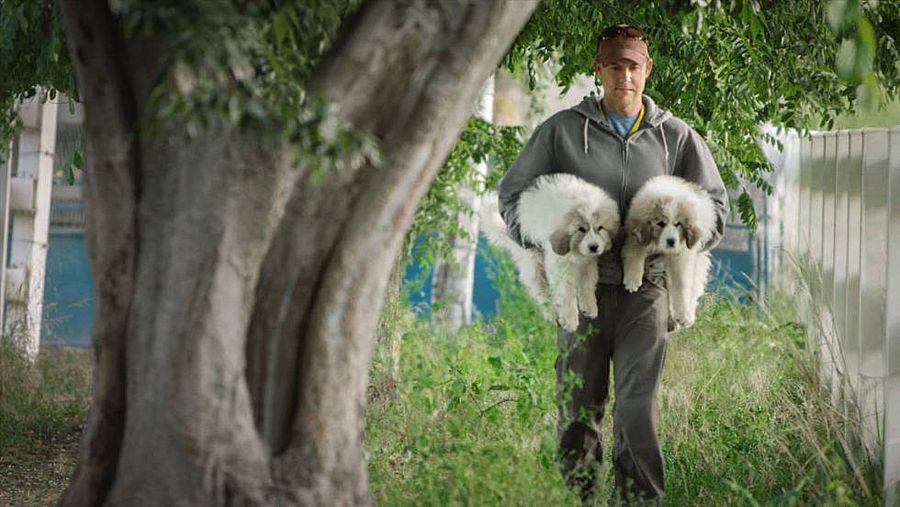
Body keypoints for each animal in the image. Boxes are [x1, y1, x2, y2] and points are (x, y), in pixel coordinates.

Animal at [482, 175, 624, 334]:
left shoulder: (587, 263)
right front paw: (570, 321)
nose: (594, 247)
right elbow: (566, 293)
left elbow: (587, 284)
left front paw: (589, 307)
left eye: (600, 228)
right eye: (581, 229)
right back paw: (550, 314)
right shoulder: (559, 264)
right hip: (533, 261)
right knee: (540, 292)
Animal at [620, 175, 716, 330]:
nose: (671, 241)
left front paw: (683, 315)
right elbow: (634, 254)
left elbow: (682, 285)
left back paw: (686, 316)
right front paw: (633, 279)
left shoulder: (683, 255)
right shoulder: (636, 238)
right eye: (660, 223)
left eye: (678, 224)